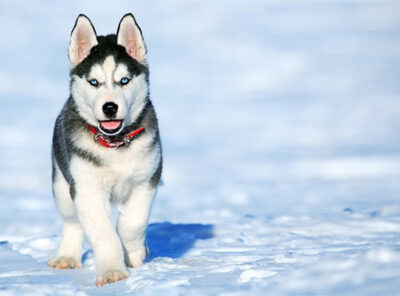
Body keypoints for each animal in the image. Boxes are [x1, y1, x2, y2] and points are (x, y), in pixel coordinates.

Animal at [48, 14, 162, 286]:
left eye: (124, 81)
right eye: (94, 82)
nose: (110, 107)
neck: (115, 144)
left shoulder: (147, 178)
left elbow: (132, 222)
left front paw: (135, 252)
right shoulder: (86, 189)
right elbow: (103, 232)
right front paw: (113, 271)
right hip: (62, 184)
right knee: (72, 221)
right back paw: (67, 256)